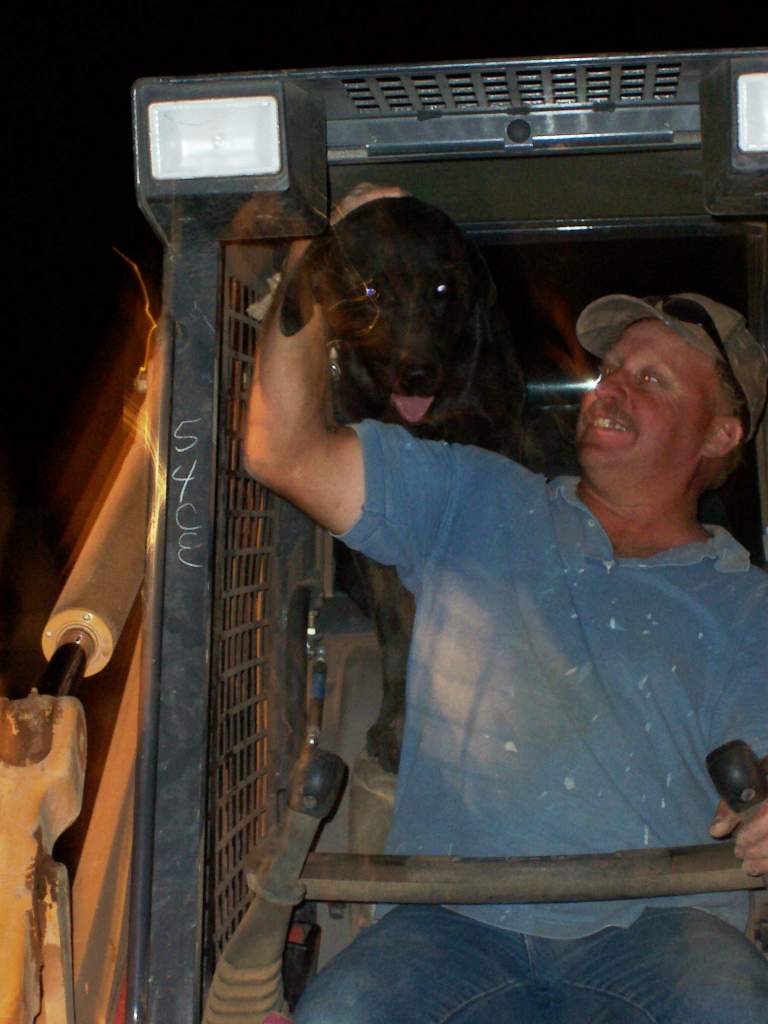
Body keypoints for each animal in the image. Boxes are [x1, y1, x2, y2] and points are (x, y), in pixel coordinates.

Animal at [286, 195, 532, 770]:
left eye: (442, 290)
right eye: (372, 292)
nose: (417, 374)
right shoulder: (375, 551)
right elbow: (398, 633)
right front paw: (398, 727)